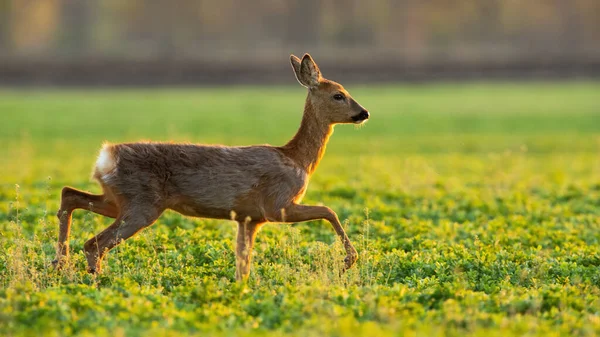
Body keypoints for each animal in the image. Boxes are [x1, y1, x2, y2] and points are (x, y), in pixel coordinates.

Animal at [52, 53, 370, 280]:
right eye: (339, 94)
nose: (364, 113)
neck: (297, 159)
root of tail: (106, 155)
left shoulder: (249, 218)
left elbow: (243, 264)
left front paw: (242, 290)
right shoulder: (277, 204)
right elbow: (329, 210)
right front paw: (348, 261)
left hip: (118, 199)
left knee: (70, 195)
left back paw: (60, 264)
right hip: (142, 204)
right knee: (93, 243)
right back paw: (94, 281)